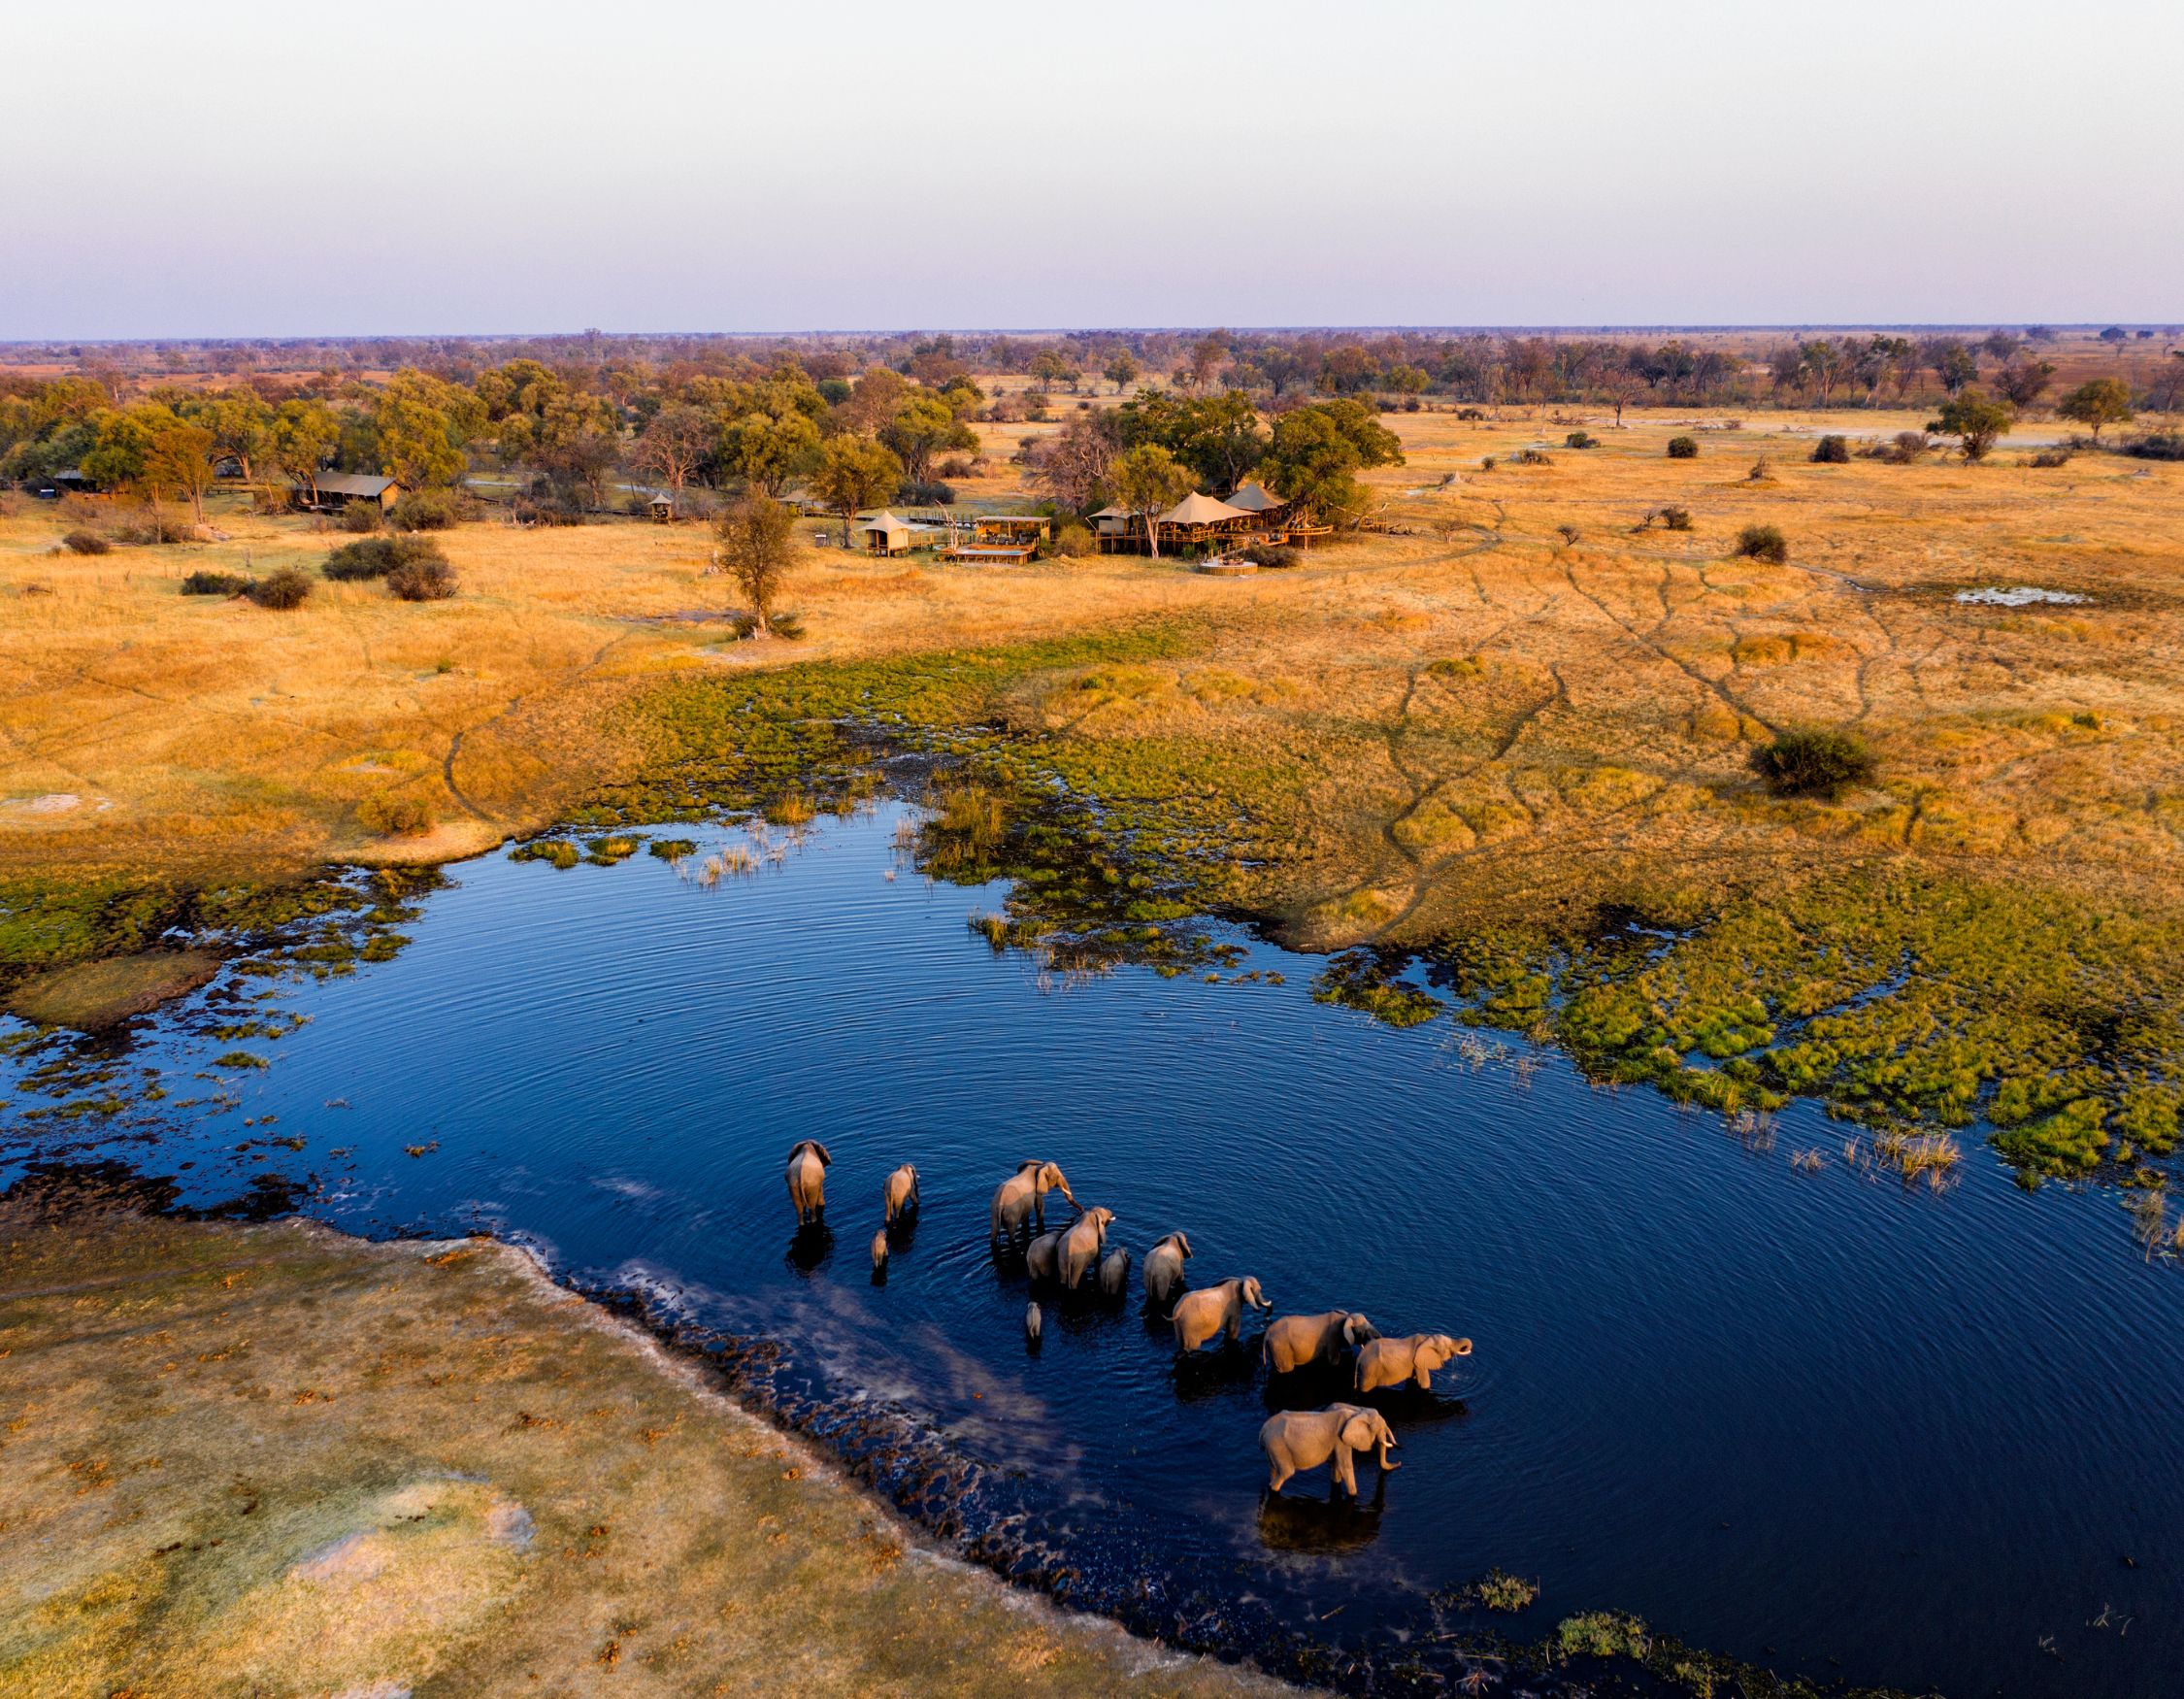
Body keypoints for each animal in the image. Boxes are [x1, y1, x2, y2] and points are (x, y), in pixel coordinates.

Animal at [1259, 1403, 1399, 1496]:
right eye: (1380, 1429)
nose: (1399, 1463)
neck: (1357, 1411)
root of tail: (1263, 1429)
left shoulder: (1338, 1443)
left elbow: (1337, 1467)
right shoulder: (1341, 1440)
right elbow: (1346, 1467)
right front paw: (1353, 1495)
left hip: (1272, 1448)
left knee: (1273, 1470)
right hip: (1278, 1446)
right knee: (1286, 1472)